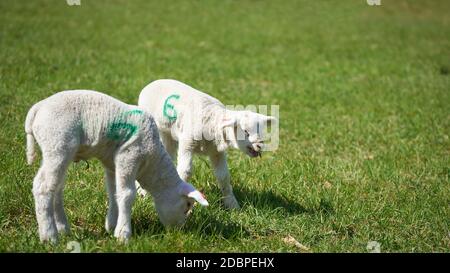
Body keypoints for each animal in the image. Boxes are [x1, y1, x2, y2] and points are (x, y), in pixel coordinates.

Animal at [27, 90, 210, 242]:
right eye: (187, 205)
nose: (179, 231)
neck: (152, 163)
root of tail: (37, 109)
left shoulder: (112, 164)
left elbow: (113, 192)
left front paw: (111, 226)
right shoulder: (129, 156)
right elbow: (127, 195)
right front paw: (123, 234)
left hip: (58, 151)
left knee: (56, 187)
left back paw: (63, 229)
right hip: (58, 144)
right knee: (43, 186)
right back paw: (49, 236)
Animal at [135, 79, 276, 208]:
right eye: (245, 132)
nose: (260, 146)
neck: (213, 122)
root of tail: (153, 82)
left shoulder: (216, 152)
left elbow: (223, 176)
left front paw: (232, 205)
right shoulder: (187, 143)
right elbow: (185, 171)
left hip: (167, 134)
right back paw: (142, 191)